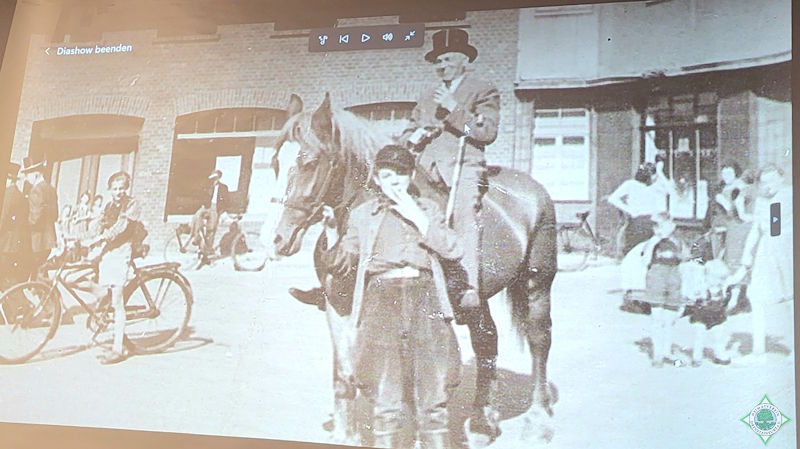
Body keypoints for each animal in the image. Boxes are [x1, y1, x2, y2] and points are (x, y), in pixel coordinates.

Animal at [270, 93, 558, 446]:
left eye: (309, 162)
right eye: (274, 163)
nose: (279, 239)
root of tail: (533, 190)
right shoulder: (337, 306)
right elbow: (345, 373)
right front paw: (345, 433)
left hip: (536, 283)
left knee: (539, 341)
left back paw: (537, 420)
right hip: (478, 300)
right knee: (487, 341)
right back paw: (481, 422)